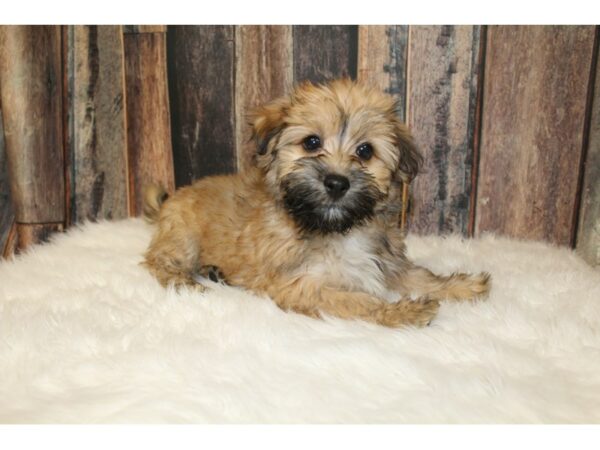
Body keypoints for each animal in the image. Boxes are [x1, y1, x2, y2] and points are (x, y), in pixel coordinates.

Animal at [143, 78, 490, 326]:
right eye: (311, 142)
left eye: (365, 151)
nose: (336, 182)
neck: (337, 229)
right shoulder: (300, 286)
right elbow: (356, 301)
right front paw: (400, 313)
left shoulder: (386, 262)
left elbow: (419, 276)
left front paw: (462, 286)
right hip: (182, 235)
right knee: (161, 262)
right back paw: (187, 284)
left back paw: (216, 273)